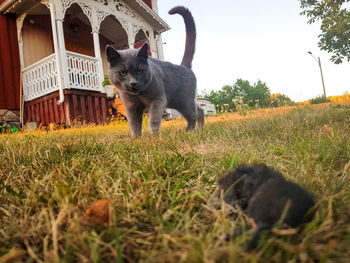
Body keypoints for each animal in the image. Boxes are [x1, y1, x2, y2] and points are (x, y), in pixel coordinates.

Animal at [105, 6, 204, 138]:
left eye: (140, 71)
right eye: (123, 72)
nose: (133, 83)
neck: (139, 95)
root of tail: (184, 66)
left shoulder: (158, 99)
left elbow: (153, 118)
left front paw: (153, 134)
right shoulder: (131, 106)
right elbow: (134, 123)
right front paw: (136, 138)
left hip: (184, 101)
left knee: (193, 115)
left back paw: (190, 130)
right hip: (180, 101)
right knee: (199, 110)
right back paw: (200, 128)